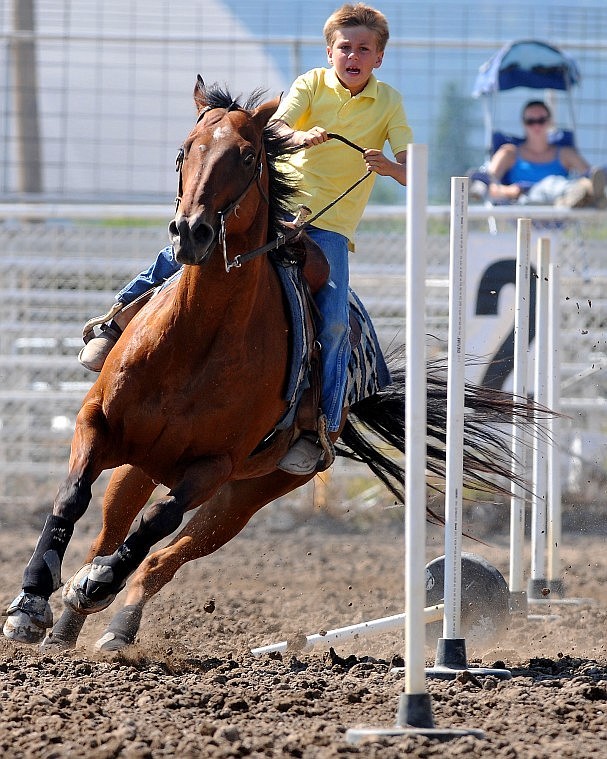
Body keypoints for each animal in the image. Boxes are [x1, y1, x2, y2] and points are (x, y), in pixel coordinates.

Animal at [3, 78, 532, 652]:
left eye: (248, 155)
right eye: (184, 151)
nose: (191, 232)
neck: (194, 340)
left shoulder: (214, 466)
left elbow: (157, 522)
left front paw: (95, 585)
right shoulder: (97, 422)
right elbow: (70, 498)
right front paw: (29, 603)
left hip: (248, 494)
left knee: (162, 556)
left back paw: (113, 618)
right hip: (139, 464)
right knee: (107, 531)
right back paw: (66, 626)